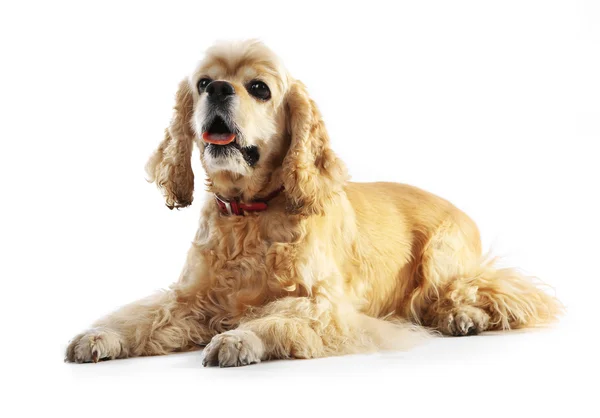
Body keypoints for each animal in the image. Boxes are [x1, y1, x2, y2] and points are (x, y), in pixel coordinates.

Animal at [65, 39, 564, 366]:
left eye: (259, 88)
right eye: (203, 81)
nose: (219, 90)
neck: (250, 215)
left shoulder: (325, 306)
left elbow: (278, 318)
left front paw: (240, 339)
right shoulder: (191, 296)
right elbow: (143, 314)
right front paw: (101, 335)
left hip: (443, 257)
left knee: (493, 292)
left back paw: (462, 316)